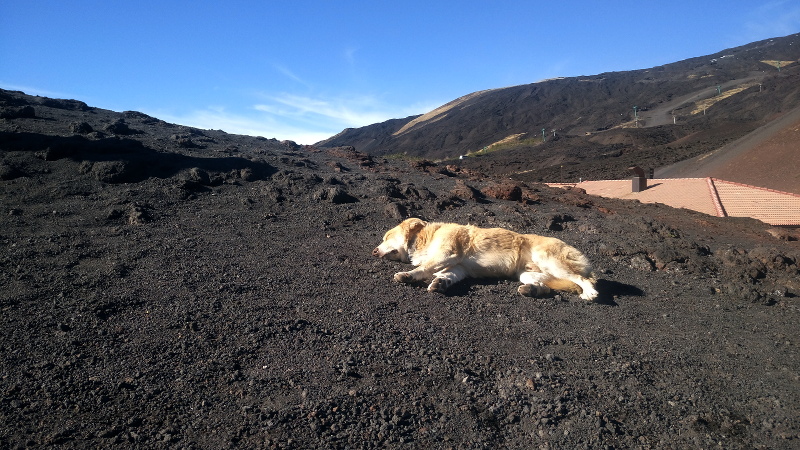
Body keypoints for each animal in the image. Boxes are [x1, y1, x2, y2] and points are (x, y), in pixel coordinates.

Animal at [372, 218, 596, 298]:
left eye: (387, 237)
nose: (374, 252)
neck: (424, 239)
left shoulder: (447, 254)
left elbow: (424, 268)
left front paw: (408, 274)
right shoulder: (458, 267)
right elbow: (448, 275)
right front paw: (441, 283)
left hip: (549, 260)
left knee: (583, 279)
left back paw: (590, 293)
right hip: (527, 274)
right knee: (548, 286)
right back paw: (531, 290)